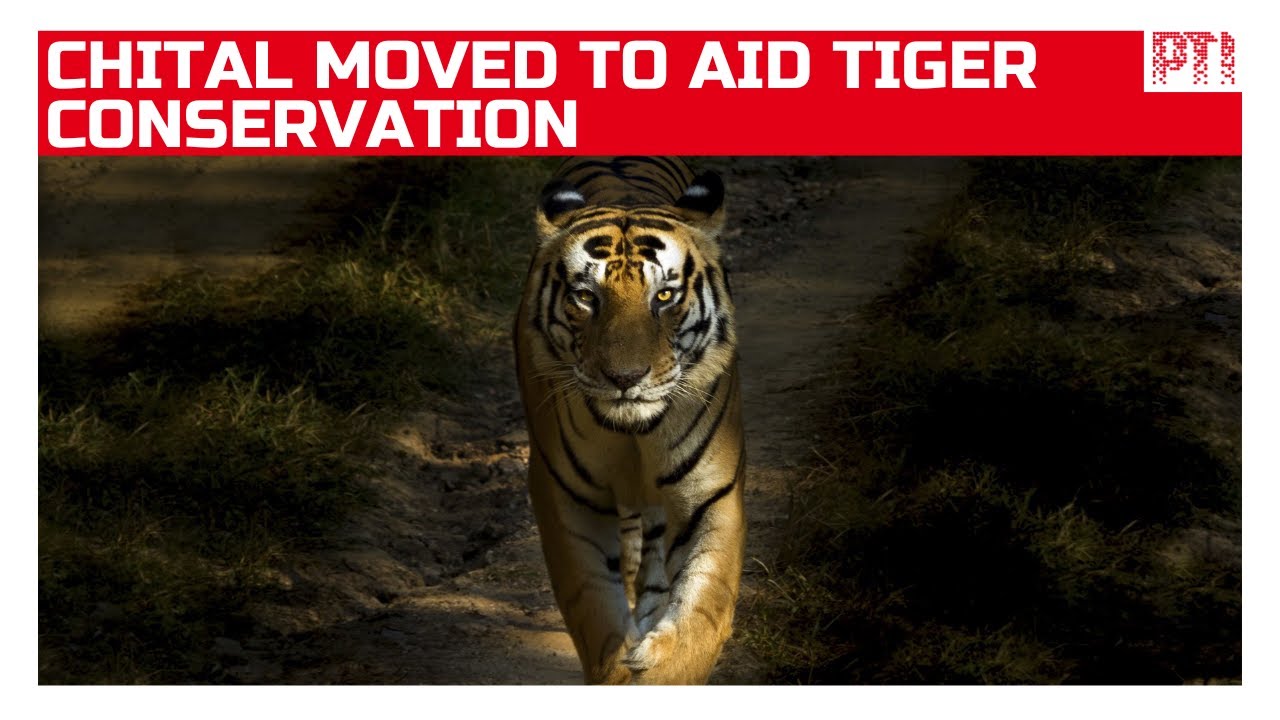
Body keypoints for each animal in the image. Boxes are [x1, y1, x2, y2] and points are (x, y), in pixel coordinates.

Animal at [513, 157, 746, 685]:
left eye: (663, 296)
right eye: (586, 297)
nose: (624, 377)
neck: (633, 432)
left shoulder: (712, 494)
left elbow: (702, 610)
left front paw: (660, 665)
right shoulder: (566, 498)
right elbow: (593, 607)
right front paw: (621, 665)